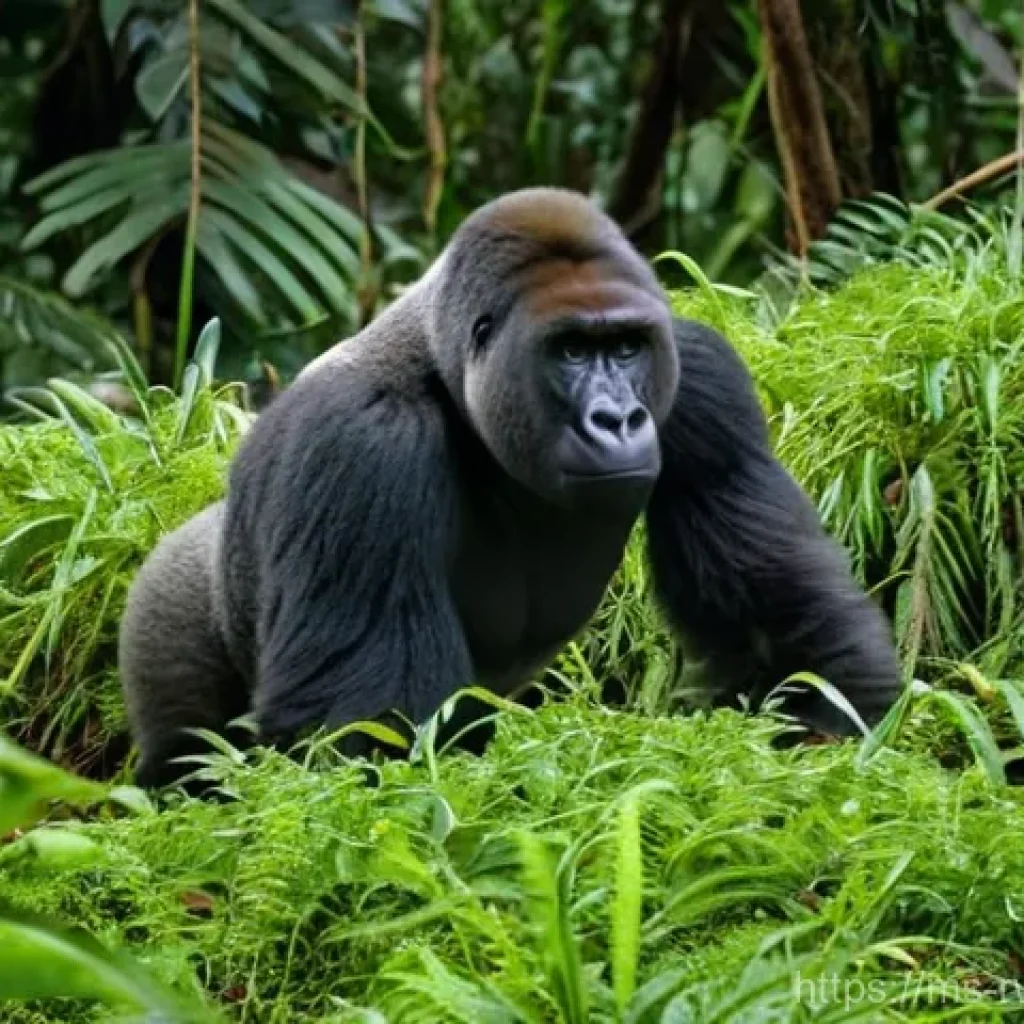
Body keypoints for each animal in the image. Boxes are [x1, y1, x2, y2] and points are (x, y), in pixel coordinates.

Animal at [118, 187, 901, 790]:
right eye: (571, 350)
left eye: (627, 346)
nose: (618, 418)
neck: (444, 367)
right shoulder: (359, 439)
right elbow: (372, 739)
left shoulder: (704, 377)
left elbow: (777, 612)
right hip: (165, 617)